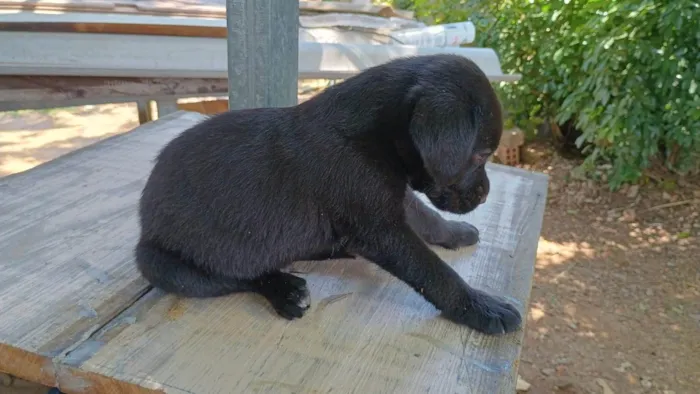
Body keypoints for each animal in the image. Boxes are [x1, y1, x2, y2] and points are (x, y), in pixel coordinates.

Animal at [135, 53, 520, 334]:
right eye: (480, 156)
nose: (485, 197)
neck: (372, 133)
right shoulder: (379, 227)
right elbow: (433, 273)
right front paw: (480, 307)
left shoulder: (392, 195)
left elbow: (427, 218)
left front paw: (456, 234)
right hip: (160, 264)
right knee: (240, 277)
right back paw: (286, 290)